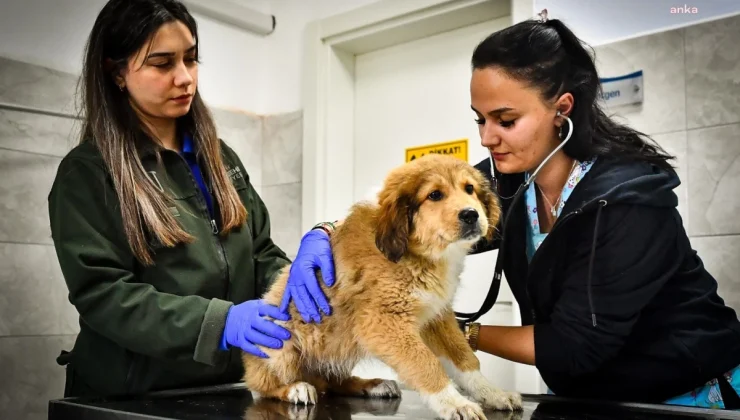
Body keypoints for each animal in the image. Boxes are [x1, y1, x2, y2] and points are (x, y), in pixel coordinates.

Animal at [241, 154, 520, 420]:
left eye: (469, 188)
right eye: (434, 195)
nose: (471, 214)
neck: (417, 252)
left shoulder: (436, 316)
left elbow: (465, 359)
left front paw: (493, 393)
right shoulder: (383, 322)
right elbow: (426, 363)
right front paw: (456, 404)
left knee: (333, 381)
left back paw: (373, 385)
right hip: (279, 344)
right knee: (264, 385)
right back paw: (295, 388)